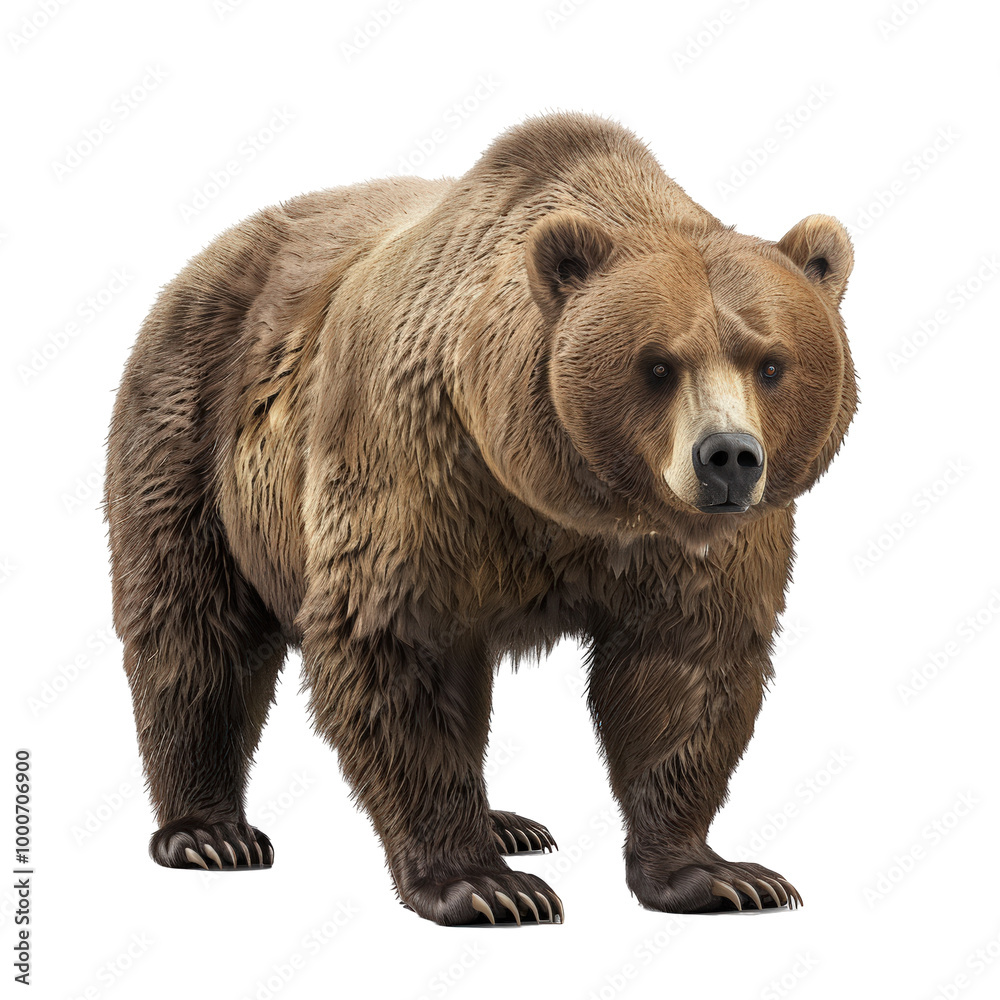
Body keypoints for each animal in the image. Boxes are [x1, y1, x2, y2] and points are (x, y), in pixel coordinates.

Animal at [105, 111, 856, 925]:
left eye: (770, 363)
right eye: (658, 364)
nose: (727, 457)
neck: (574, 499)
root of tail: (203, 260)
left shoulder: (694, 545)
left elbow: (686, 662)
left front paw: (719, 875)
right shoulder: (420, 465)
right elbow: (397, 645)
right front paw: (485, 885)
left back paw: (509, 823)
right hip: (192, 422)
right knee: (194, 626)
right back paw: (210, 833)